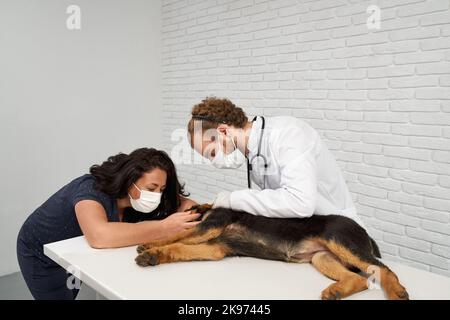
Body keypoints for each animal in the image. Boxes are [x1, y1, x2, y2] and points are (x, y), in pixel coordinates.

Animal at [134, 205, 408, 300]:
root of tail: (366, 234)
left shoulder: (211, 226)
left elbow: (176, 237)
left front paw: (150, 246)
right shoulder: (216, 248)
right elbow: (180, 247)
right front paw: (153, 254)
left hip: (339, 239)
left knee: (384, 269)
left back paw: (397, 293)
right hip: (322, 257)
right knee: (359, 279)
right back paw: (335, 292)